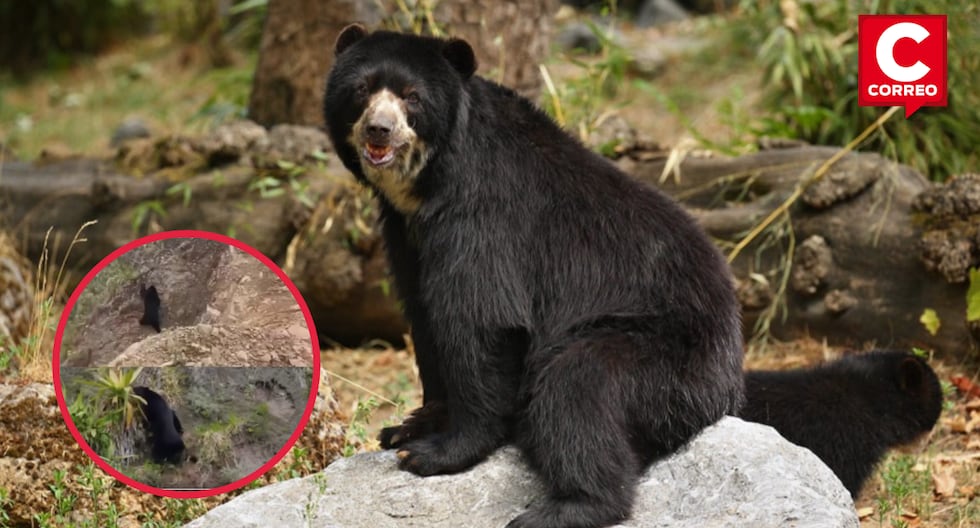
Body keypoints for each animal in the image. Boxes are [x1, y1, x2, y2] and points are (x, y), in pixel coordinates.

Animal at [324, 24, 744, 528]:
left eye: (412, 97)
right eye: (362, 89)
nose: (378, 130)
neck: (427, 184)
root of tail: (729, 380)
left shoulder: (485, 214)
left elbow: (480, 318)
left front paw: (436, 452)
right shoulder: (405, 233)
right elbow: (424, 315)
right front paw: (407, 428)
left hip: (663, 355)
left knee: (576, 389)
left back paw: (564, 508)